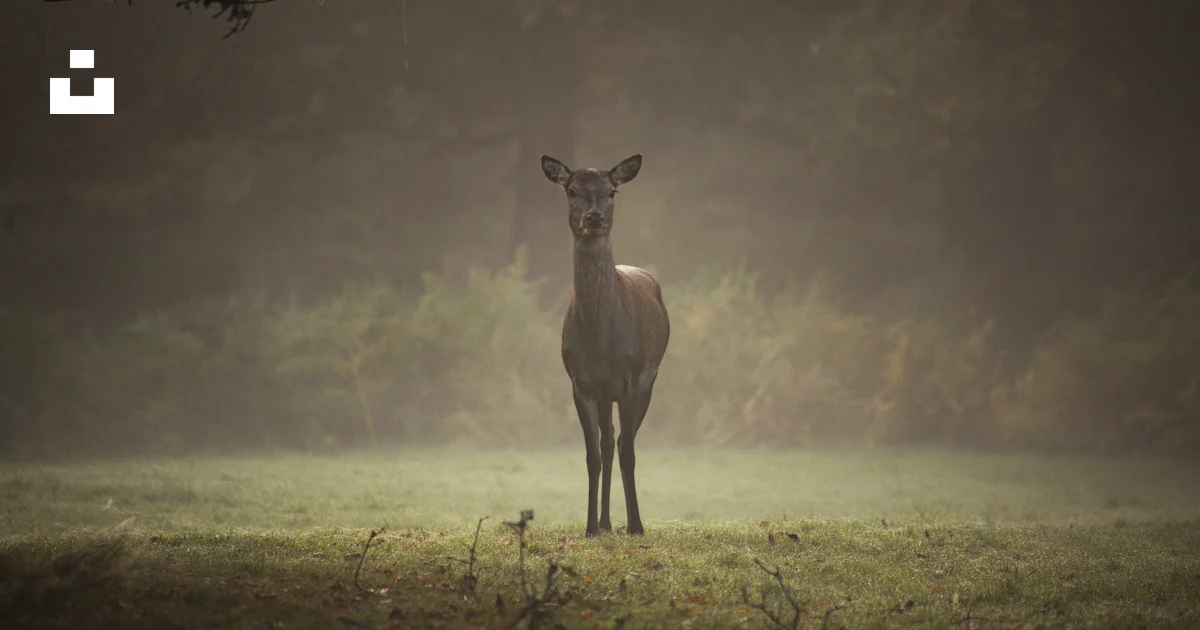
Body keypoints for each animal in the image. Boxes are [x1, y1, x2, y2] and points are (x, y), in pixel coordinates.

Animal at [540, 153, 670, 537]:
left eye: (612, 191)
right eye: (571, 190)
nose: (594, 217)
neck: (601, 342)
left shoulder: (632, 381)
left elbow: (629, 452)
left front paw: (637, 526)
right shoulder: (580, 384)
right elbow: (592, 456)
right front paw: (589, 527)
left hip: (649, 382)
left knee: (624, 443)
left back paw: (622, 522)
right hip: (604, 396)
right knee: (608, 442)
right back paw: (606, 522)